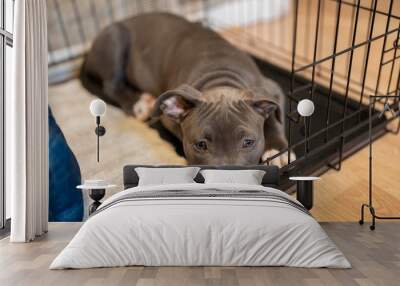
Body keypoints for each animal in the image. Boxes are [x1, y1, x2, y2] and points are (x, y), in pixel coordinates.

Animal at [82, 12, 294, 166]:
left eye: (248, 142)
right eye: (201, 145)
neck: (221, 76)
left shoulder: (271, 89)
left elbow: (275, 120)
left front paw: (278, 151)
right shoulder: (168, 117)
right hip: (115, 38)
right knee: (111, 85)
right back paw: (139, 104)